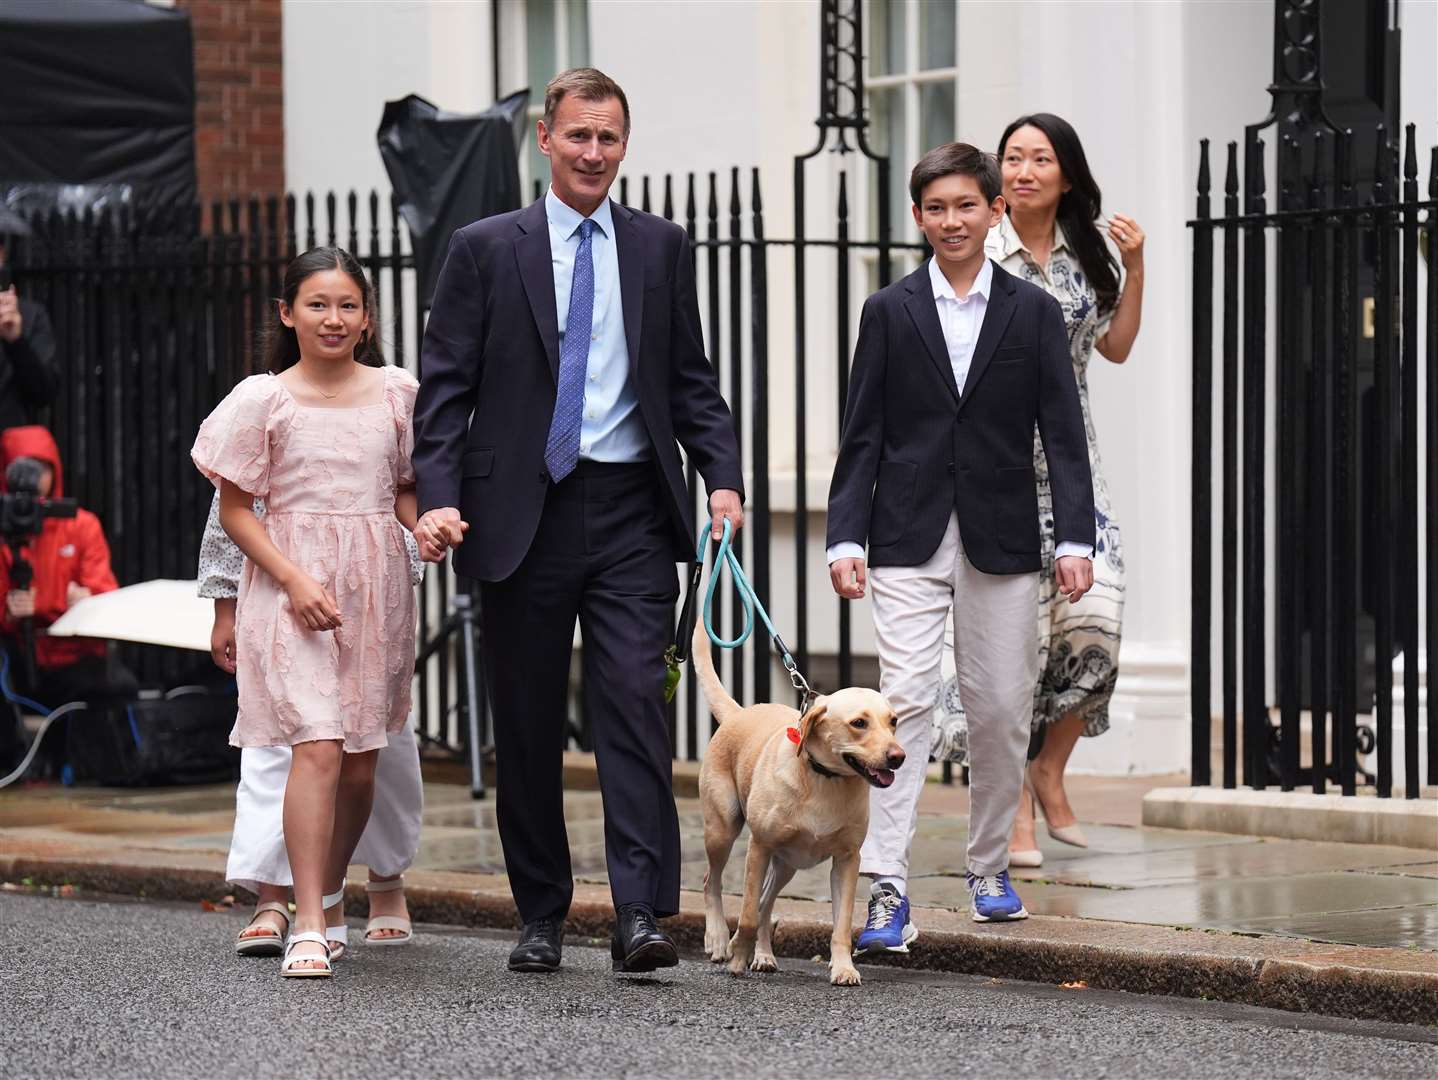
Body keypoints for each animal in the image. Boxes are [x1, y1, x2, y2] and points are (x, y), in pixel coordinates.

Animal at [693, 621, 903, 983]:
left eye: (893, 721)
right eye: (858, 723)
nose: (898, 757)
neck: (825, 780)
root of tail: (739, 713)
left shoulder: (847, 860)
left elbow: (841, 925)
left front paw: (843, 968)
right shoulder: (759, 848)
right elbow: (747, 914)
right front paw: (737, 958)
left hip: (786, 864)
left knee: (766, 903)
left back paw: (762, 954)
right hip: (722, 830)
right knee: (713, 882)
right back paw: (720, 939)